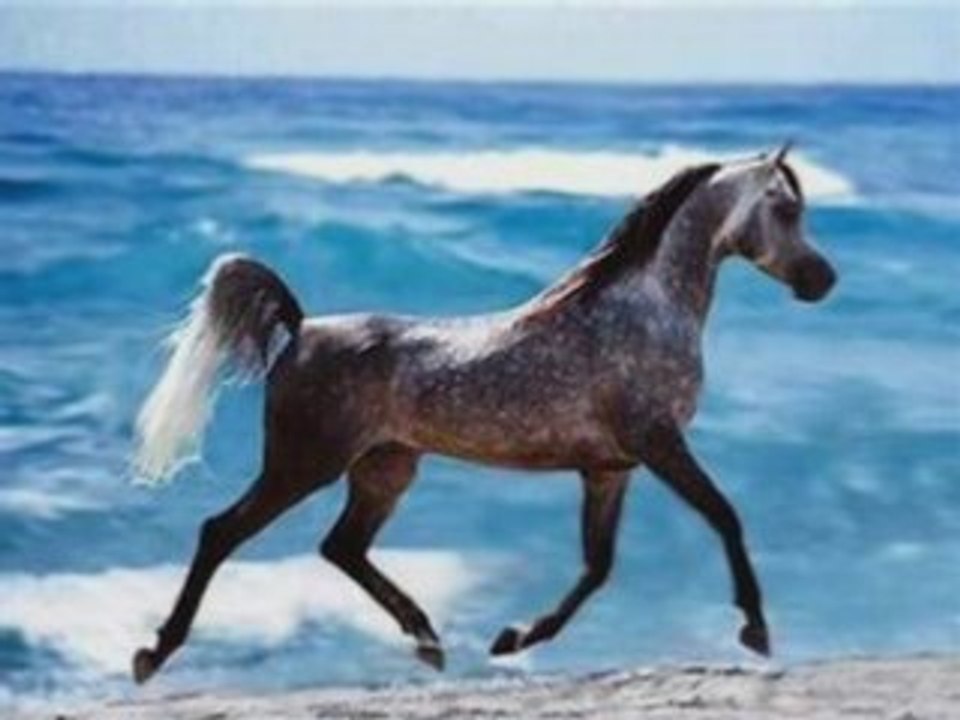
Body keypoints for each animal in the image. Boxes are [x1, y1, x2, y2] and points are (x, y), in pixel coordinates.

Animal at [131, 144, 837, 684]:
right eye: (785, 207)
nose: (822, 280)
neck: (644, 311)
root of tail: (302, 328)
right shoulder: (658, 444)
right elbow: (724, 516)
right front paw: (755, 629)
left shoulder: (610, 468)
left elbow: (597, 566)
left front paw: (513, 637)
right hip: (304, 464)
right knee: (221, 533)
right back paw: (152, 653)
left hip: (385, 468)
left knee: (342, 547)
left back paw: (428, 641)